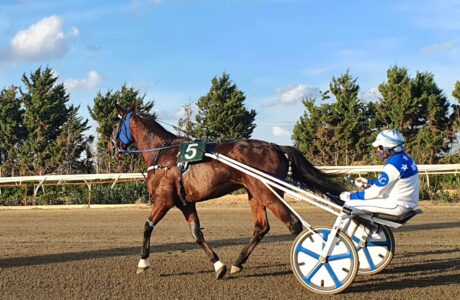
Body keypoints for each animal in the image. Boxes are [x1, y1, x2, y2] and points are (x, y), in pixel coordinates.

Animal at [111, 105, 344, 278]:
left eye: (115, 125)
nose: (112, 146)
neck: (162, 154)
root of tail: (276, 146)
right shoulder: (186, 203)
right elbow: (196, 234)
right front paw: (218, 265)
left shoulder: (164, 200)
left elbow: (147, 226)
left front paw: (143, 262)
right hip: (254, 193)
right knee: (261, 227)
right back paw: (238, 263)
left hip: (268, 192)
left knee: (294, 224)